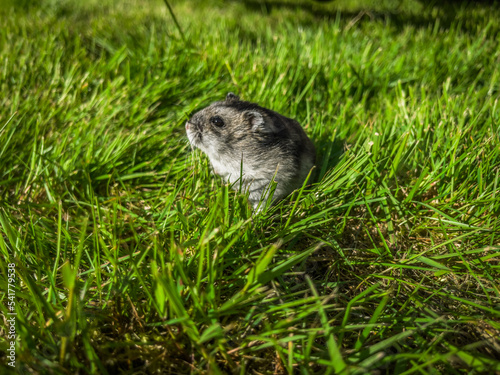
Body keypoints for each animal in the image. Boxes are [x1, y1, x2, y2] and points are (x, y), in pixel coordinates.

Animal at [186, 91, 314, 209]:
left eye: (217, 121)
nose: (186, 125)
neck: (226, 153)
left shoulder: (270, 184)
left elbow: (263, 204)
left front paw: (253, 218)